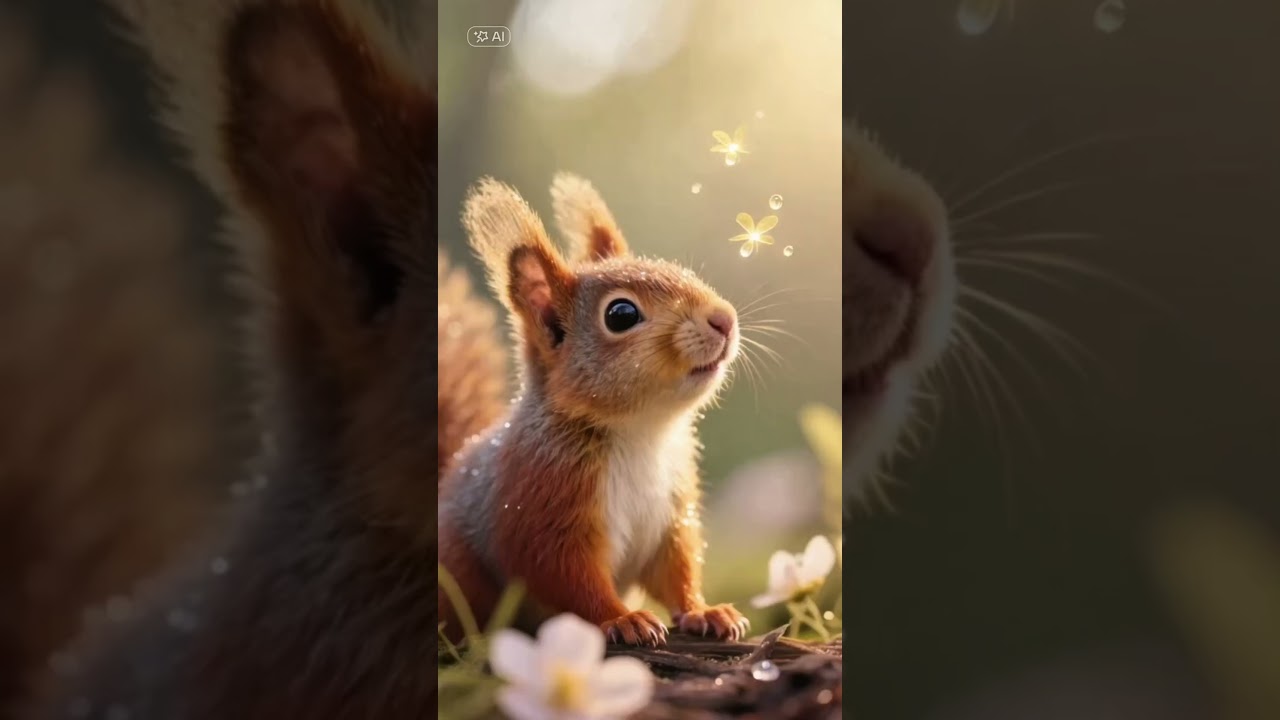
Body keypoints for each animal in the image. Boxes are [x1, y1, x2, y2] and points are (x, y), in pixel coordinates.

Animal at [437, 173, 749, 647]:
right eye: (621, 314)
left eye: (681, 271)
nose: (725, 319)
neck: (640, 432)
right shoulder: (541, 501)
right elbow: (566, 576)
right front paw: (623, 619)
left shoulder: (672, 514)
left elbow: (676, 569)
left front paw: (704, 610)